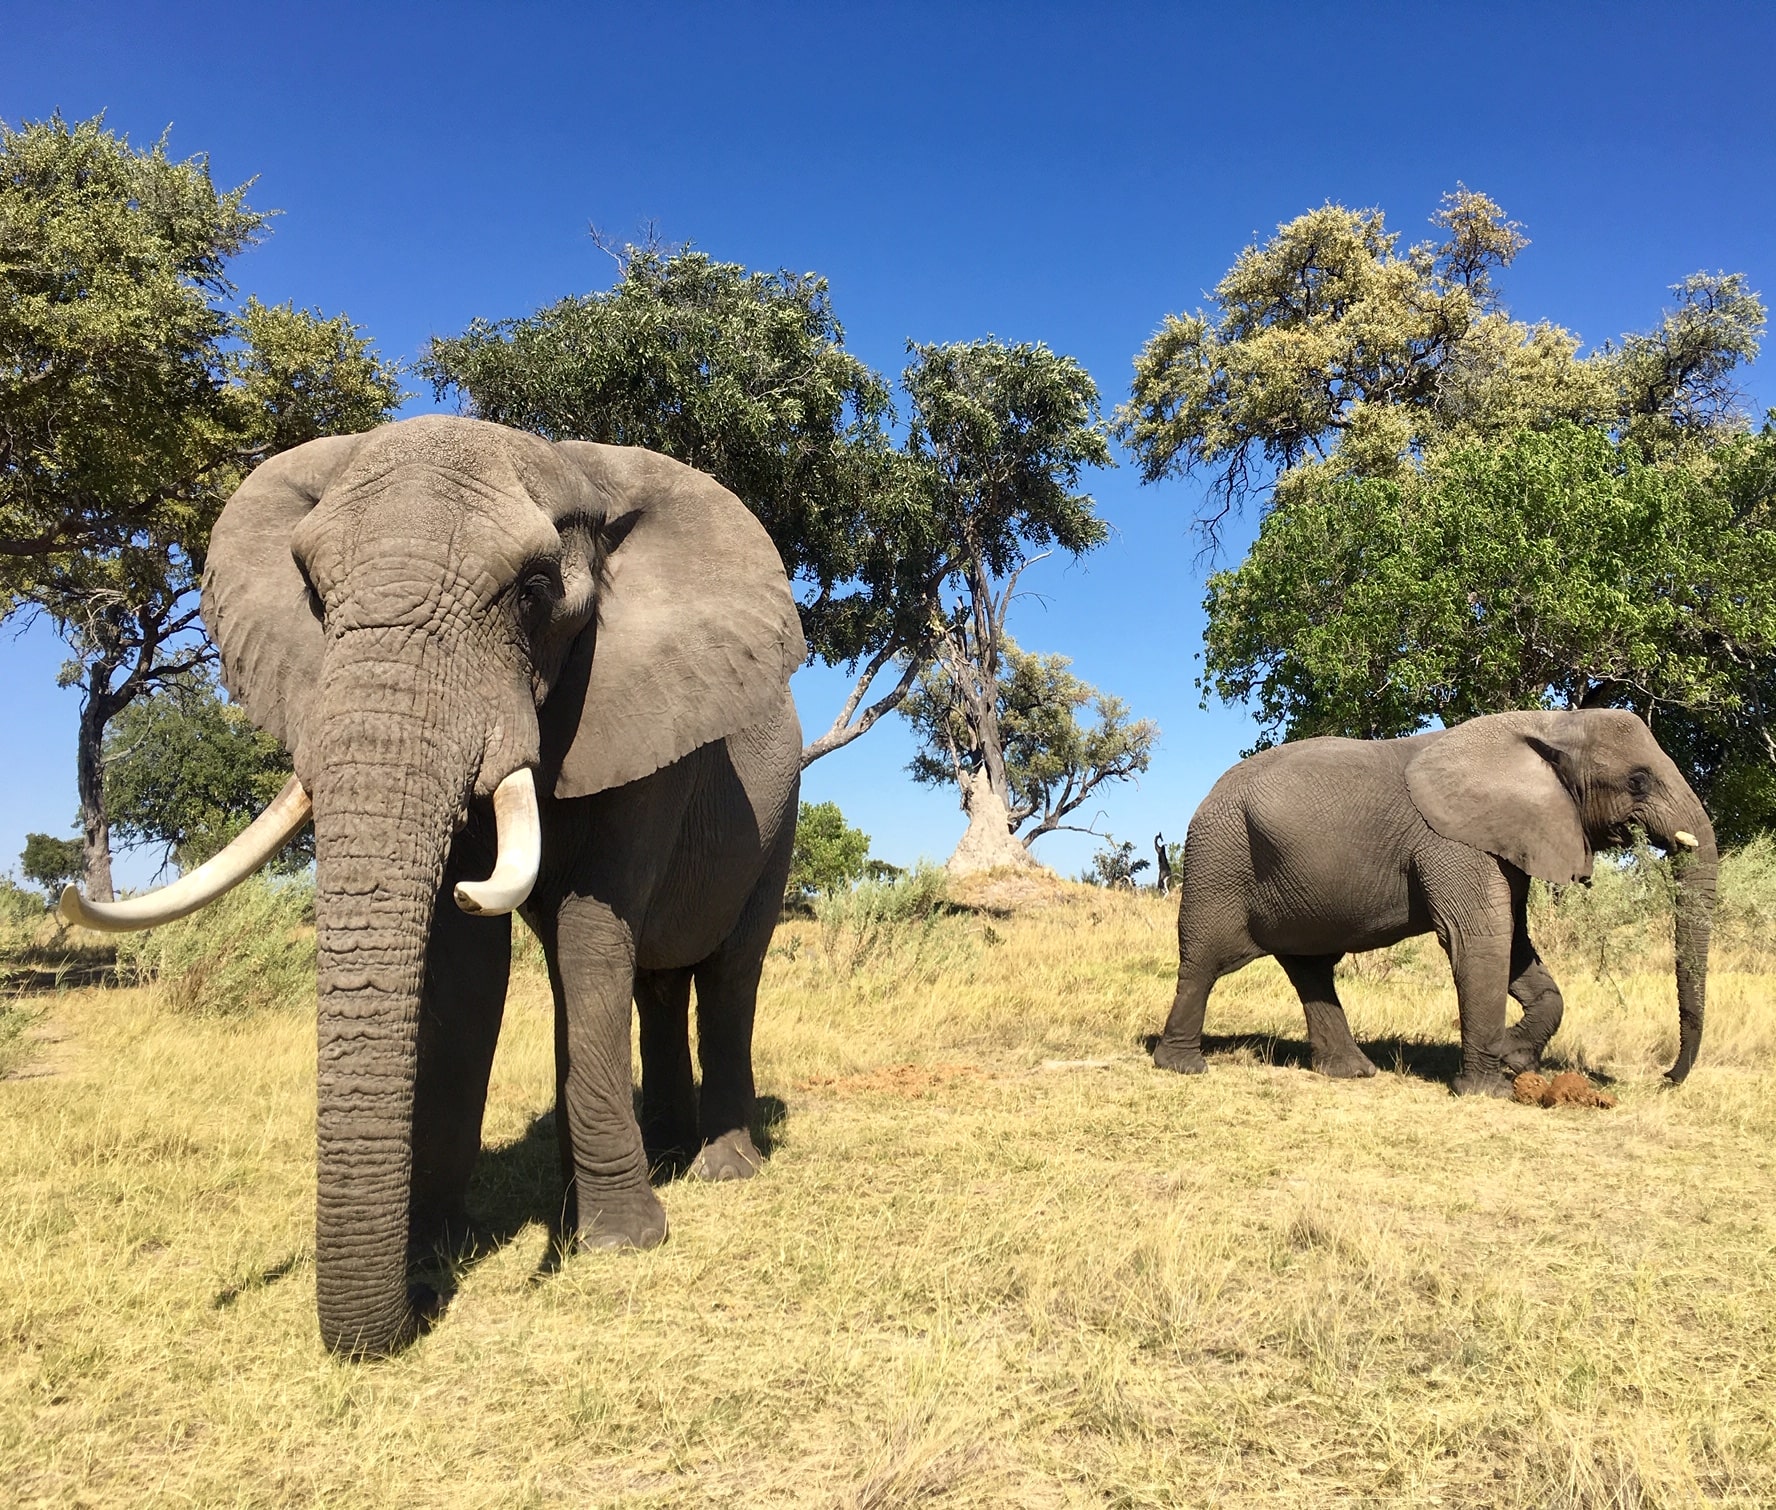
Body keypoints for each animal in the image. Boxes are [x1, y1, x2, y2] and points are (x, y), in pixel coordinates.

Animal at [60, 412, 799, 1350]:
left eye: (534, 590)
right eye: (314, 594)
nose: (409, 1312)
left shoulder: (644, 723)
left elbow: (589, 934)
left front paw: (620, 1242)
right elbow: (466, 966)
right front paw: (437, 1248)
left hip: (780, 815)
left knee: (729, 974)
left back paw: (722, 1170)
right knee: (659, 985)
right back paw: (661, 1155)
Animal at [1157, 710, 1712, 1094]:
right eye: (1638, 780)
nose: (1667, 1078)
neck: (1551, 723)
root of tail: (1207, 796)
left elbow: (1515, 945)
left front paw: (1514, 1058)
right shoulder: (1454, 843)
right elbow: (1481, 940)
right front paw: (1490, 1088)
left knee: (1310, 968)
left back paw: (1354, 1073)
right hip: (1220, 857)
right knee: (1205, 961)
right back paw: (1183, 1066)